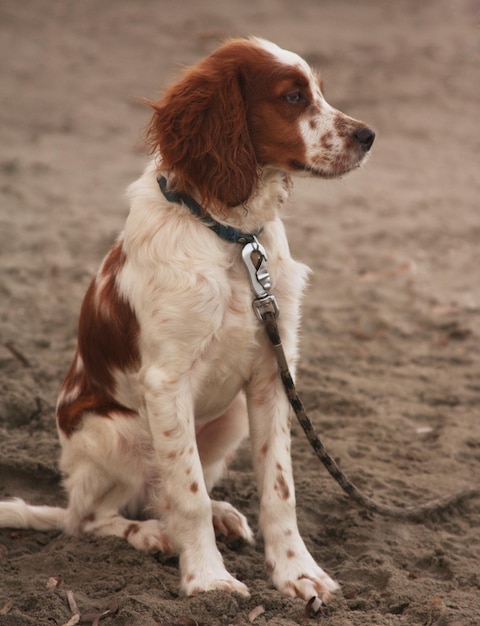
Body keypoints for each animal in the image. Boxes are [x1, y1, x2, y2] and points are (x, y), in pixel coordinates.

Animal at [0, 37, 376, 600]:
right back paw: (150, 534)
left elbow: (279, 489)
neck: (232, 236)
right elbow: (188, 492)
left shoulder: (271, 373)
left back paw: (215, 517)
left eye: (319, 92)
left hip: (228, 418)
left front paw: (297, 572)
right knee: (89, 518)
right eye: (292, 97)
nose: (368, 136)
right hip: (117, 430)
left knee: (156, 494)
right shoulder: (166, 380)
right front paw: (208, 580)